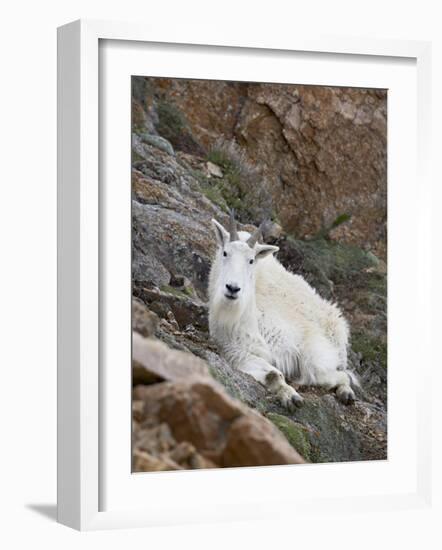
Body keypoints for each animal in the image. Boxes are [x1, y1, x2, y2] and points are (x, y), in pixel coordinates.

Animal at [207, 213, 356, 412]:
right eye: (225, 253)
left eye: (251, 260)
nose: (232, 288)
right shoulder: (235, 351)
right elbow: (272, 374)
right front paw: (290, 396)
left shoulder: (307, 345)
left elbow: (318, 372)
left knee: (341, 372)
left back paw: (346, 393)